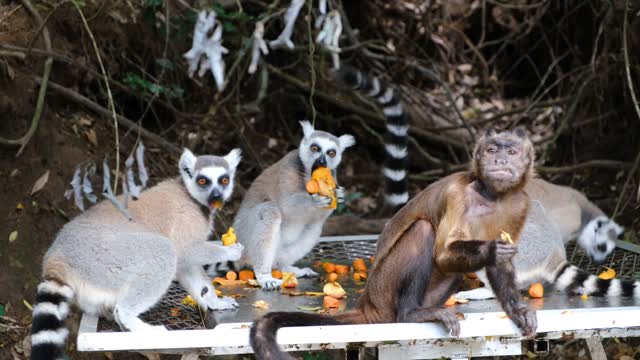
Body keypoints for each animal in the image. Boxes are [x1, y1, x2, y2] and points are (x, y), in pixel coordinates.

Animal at [250, 128, 536, 358]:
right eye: (491, 151)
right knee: (423, 230)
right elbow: (444, 254)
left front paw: (516, 308)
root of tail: (368, 304)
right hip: (384, 290)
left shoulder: (520, 202)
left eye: (511, 152)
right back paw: (411, 313)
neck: (490, 196)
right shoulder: (459, 194)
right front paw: (492, 250)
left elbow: (500, 265)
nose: (500, 160)